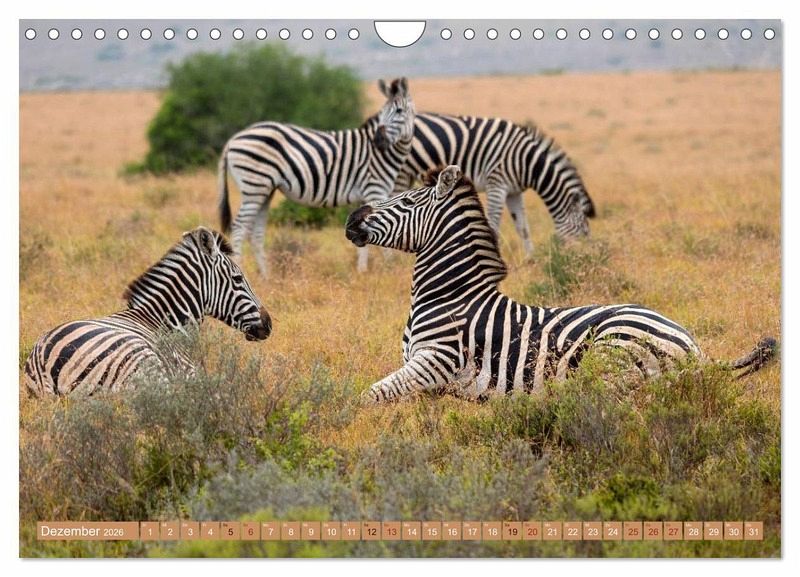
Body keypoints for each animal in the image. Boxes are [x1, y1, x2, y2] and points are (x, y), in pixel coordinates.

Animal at [23, 227, 272, 397]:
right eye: (238, 279)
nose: (268, 324)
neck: (167, 322)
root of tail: (43, 356)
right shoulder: (189, 371)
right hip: (143, 363)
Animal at [218, 77, 416, 277]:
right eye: (382, 112)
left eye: (399, 111)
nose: (378, 141)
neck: (382, 154)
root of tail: (233, 139)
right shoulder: (375, 189)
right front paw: (388, 267)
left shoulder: (366, 195)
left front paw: (362, 270)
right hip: (254, 185)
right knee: (239, 227)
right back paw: (240, 269)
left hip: (264, 190)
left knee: (256, 232)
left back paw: (266, 276)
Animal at [345, 165, 776, 402]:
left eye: (405, 202)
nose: (351, 220)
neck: (449, 294)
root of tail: (694, 347)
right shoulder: (427, 379)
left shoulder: (435, 361)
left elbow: (368, 397)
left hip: (612, 357)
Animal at [382, 112, 596, 256]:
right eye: (584, 232)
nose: (583, 257)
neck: (527, 161)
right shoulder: (497, 184)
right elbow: (493, 224)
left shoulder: (514, 191)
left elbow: (523, 227)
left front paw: (530, 258)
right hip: (400, 172)